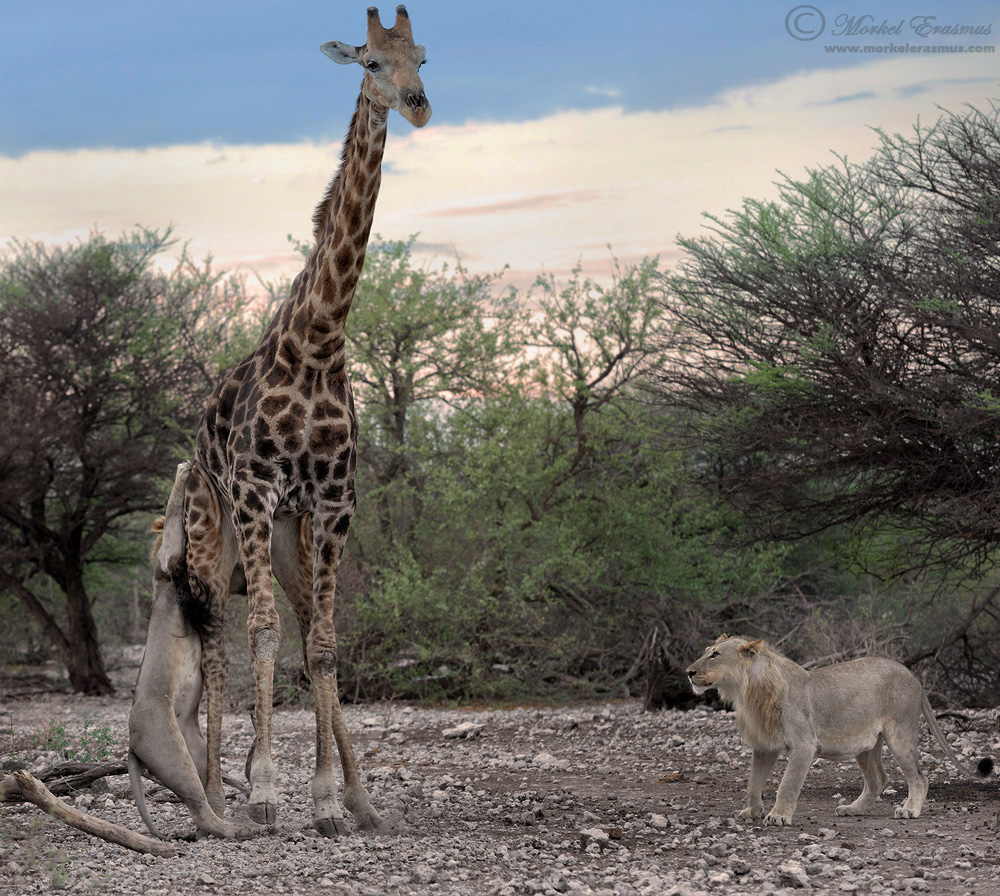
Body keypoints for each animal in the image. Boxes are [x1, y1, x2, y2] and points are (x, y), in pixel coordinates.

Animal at [140, 5, 430, 840]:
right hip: (214, 535)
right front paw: (267, 793)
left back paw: (355, 798)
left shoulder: (332, 506)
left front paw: (334, 799)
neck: (318, 344)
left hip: (287, 542)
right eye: (369, 61)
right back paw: (213, 795)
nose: (418, 103)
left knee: (301, 630)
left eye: (423, 55)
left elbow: (324, 647)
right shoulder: (255, 495)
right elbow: (262, 636)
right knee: (215, 649)